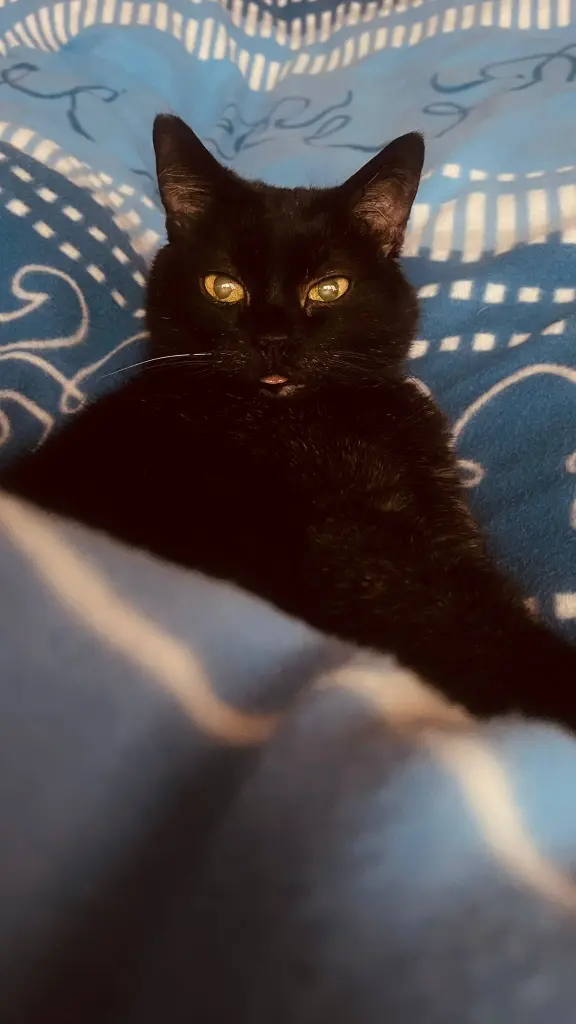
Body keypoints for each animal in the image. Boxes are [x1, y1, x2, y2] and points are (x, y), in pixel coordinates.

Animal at [3, 113, 576, 729]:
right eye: (223, 286)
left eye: (329, 287)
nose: (274, 340)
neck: (314, 418)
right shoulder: (345, 547)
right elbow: (461, 617)